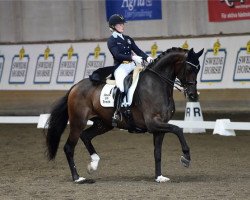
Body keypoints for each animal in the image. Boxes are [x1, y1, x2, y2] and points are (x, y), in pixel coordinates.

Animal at [46, 47, 204, 183]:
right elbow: (178, 129)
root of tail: (75, 87)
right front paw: (186, 157)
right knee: (69, 147)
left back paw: (93, 164)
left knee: (86, 136)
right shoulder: (153, 123)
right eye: (189, 68)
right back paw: (78, 178)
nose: (193, 95)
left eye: (198, 69)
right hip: (78, 122)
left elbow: (157, 153)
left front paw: (159, 177)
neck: (157, 85)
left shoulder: (159, 127)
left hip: (103, 123)